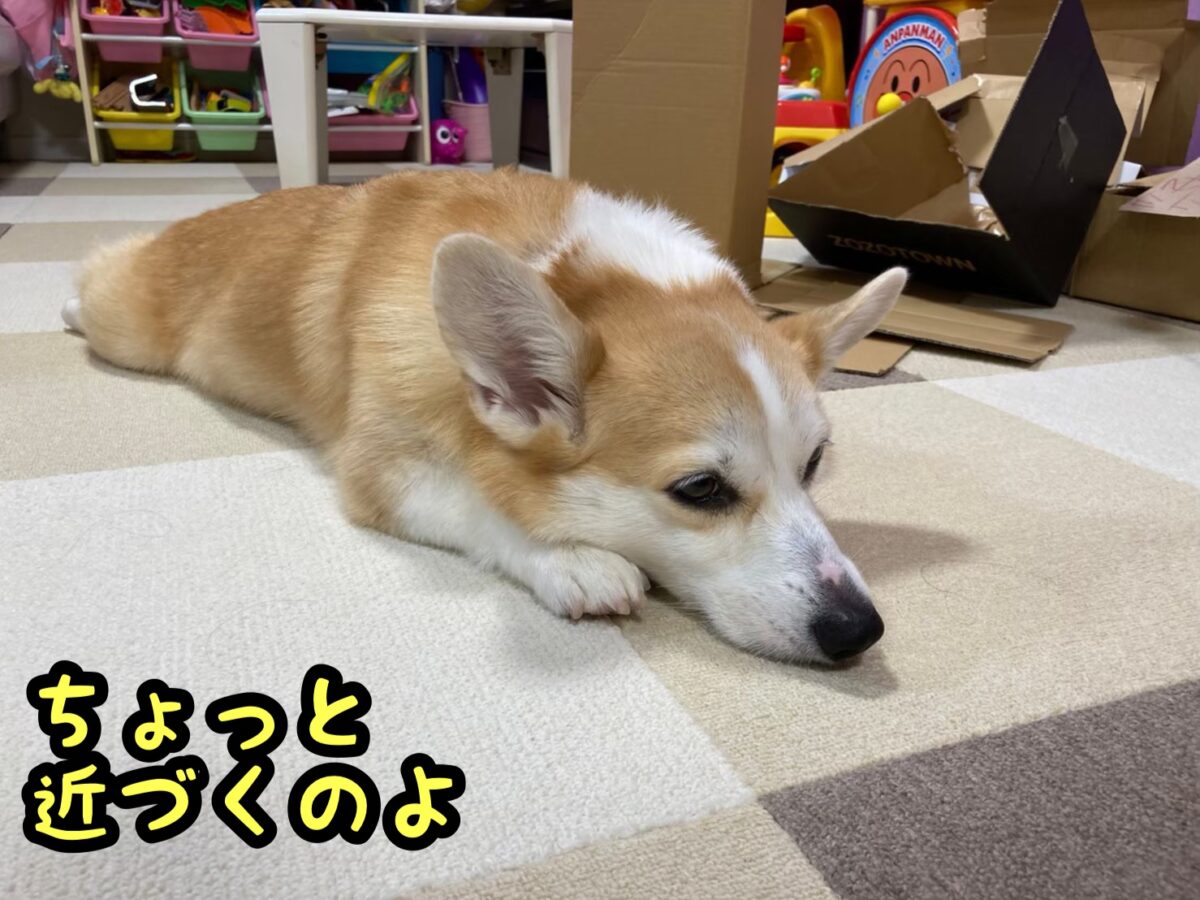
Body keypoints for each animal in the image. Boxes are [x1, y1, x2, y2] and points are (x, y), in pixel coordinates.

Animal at [64, 168, 907, 664]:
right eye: (700, 490)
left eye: (813, 464)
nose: (860, 631)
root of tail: (201, 218)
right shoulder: (381, 471)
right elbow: (482, 505)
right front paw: (575, 560)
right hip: (129, 331)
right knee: (101, 274)